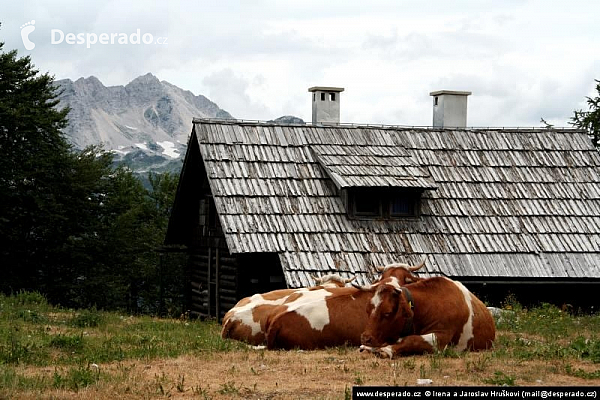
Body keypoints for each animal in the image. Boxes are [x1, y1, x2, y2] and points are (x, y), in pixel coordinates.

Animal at [358, 276, 494, 358]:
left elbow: (412, 339)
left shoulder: (441, 338)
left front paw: (386, 349)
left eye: (387, 313)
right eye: (367, 310)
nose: (365, 338)